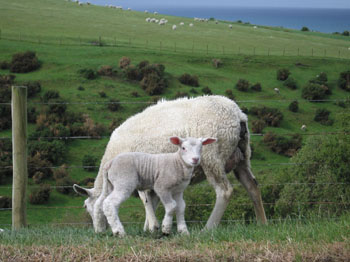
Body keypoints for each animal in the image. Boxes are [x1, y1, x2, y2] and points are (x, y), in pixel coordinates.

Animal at [72, 95, 266, 231]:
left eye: (87, 207)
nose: (98, 232)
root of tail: (238, 115)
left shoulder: (138, 172)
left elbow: (146, 200)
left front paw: (153, 226)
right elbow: (153, 200)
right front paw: (150, 227)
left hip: (212, 155)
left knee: (224, 191)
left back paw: (208, 228)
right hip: (242, 155)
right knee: (252, 186)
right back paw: (261, 224)